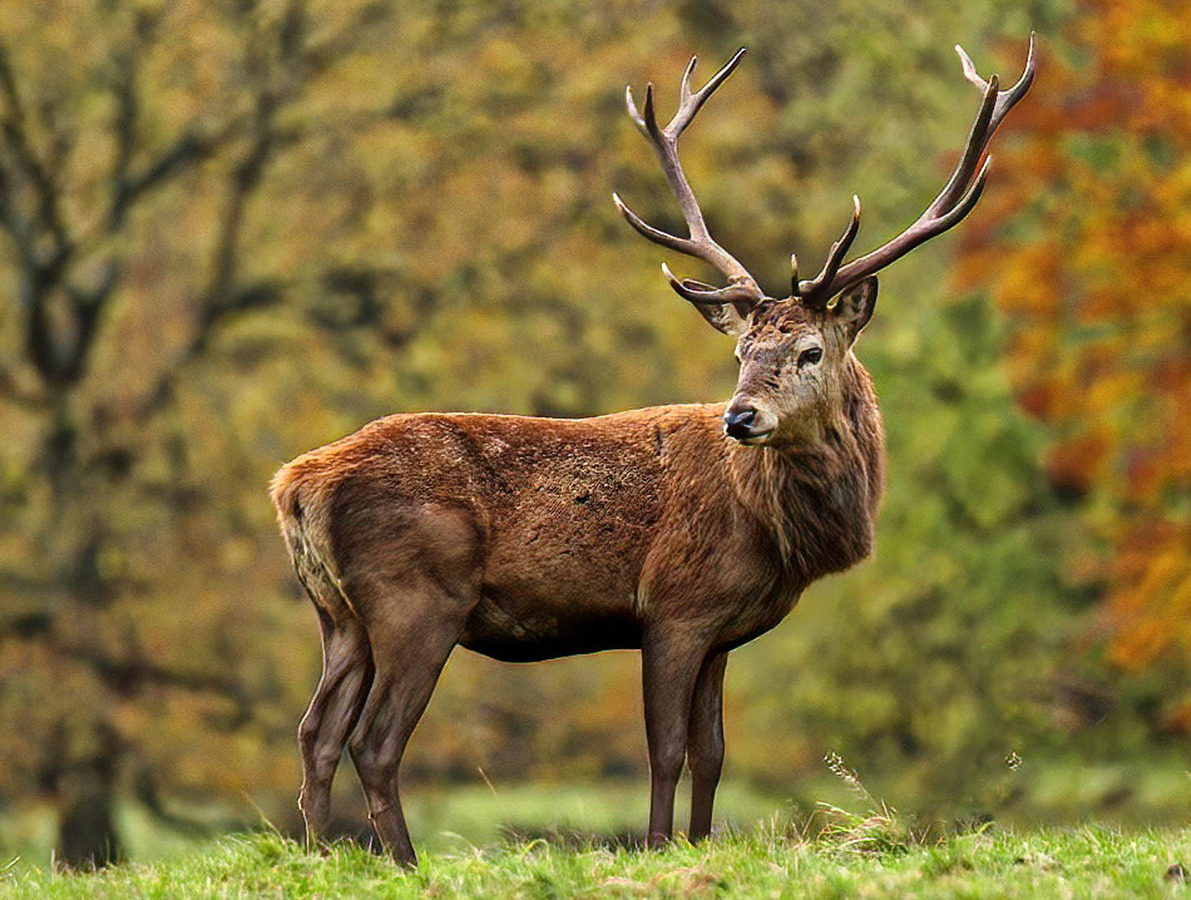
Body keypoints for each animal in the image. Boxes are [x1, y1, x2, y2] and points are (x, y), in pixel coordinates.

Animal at [270, 36, 1033, 866]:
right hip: (416, 599)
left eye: (807, 351)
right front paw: (660, 848)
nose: (740, 417)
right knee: (373, 742)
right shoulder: (672, 606)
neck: (770, 531)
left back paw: (318, 856)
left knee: (315, 733)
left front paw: (698, 846)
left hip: (336, 614)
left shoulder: (723, 630)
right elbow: (665, 749)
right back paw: (405, 863)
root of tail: (293, 485)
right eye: (740, 354)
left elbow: (713, 753)